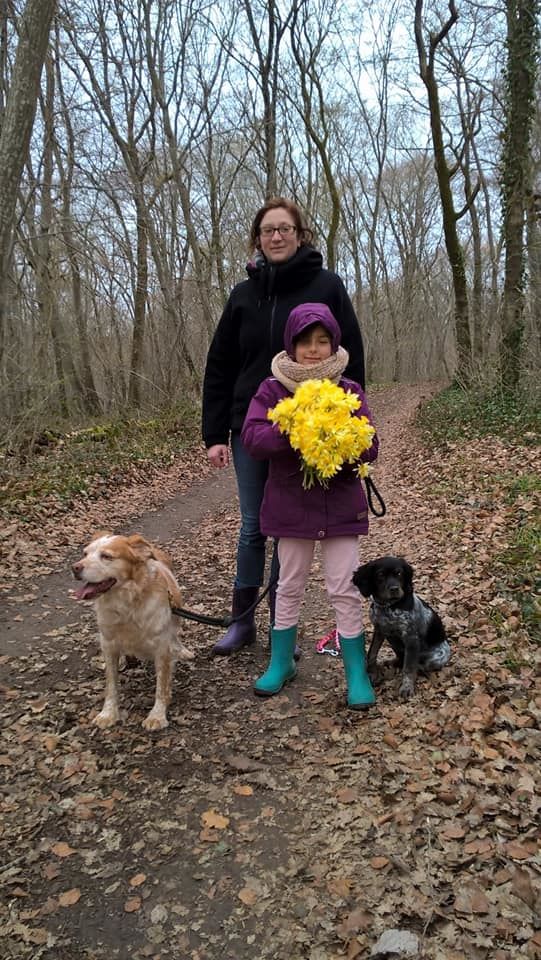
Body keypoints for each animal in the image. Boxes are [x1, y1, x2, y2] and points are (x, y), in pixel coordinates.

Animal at [72, 532, 192, 728]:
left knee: (175, 634)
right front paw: (108, 714)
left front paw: (157, 715)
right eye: (85, 554)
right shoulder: (108, 644)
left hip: (176, 613)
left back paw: (181, 650)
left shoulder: (161, 647)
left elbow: (161, 685)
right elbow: (111, 685)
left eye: (107, 556)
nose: (75, 568)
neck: (127, 603)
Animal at [352, 556, 450, 696]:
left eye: (399, 573)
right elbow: (372, 653)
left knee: (417, 664)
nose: (394, 589)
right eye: (380, 575)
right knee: (401, 657)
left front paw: (407, 687)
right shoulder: (379, 630)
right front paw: (373, 673)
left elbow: (408, 667)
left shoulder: (411, 639)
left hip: (437, 657)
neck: (388, 607)